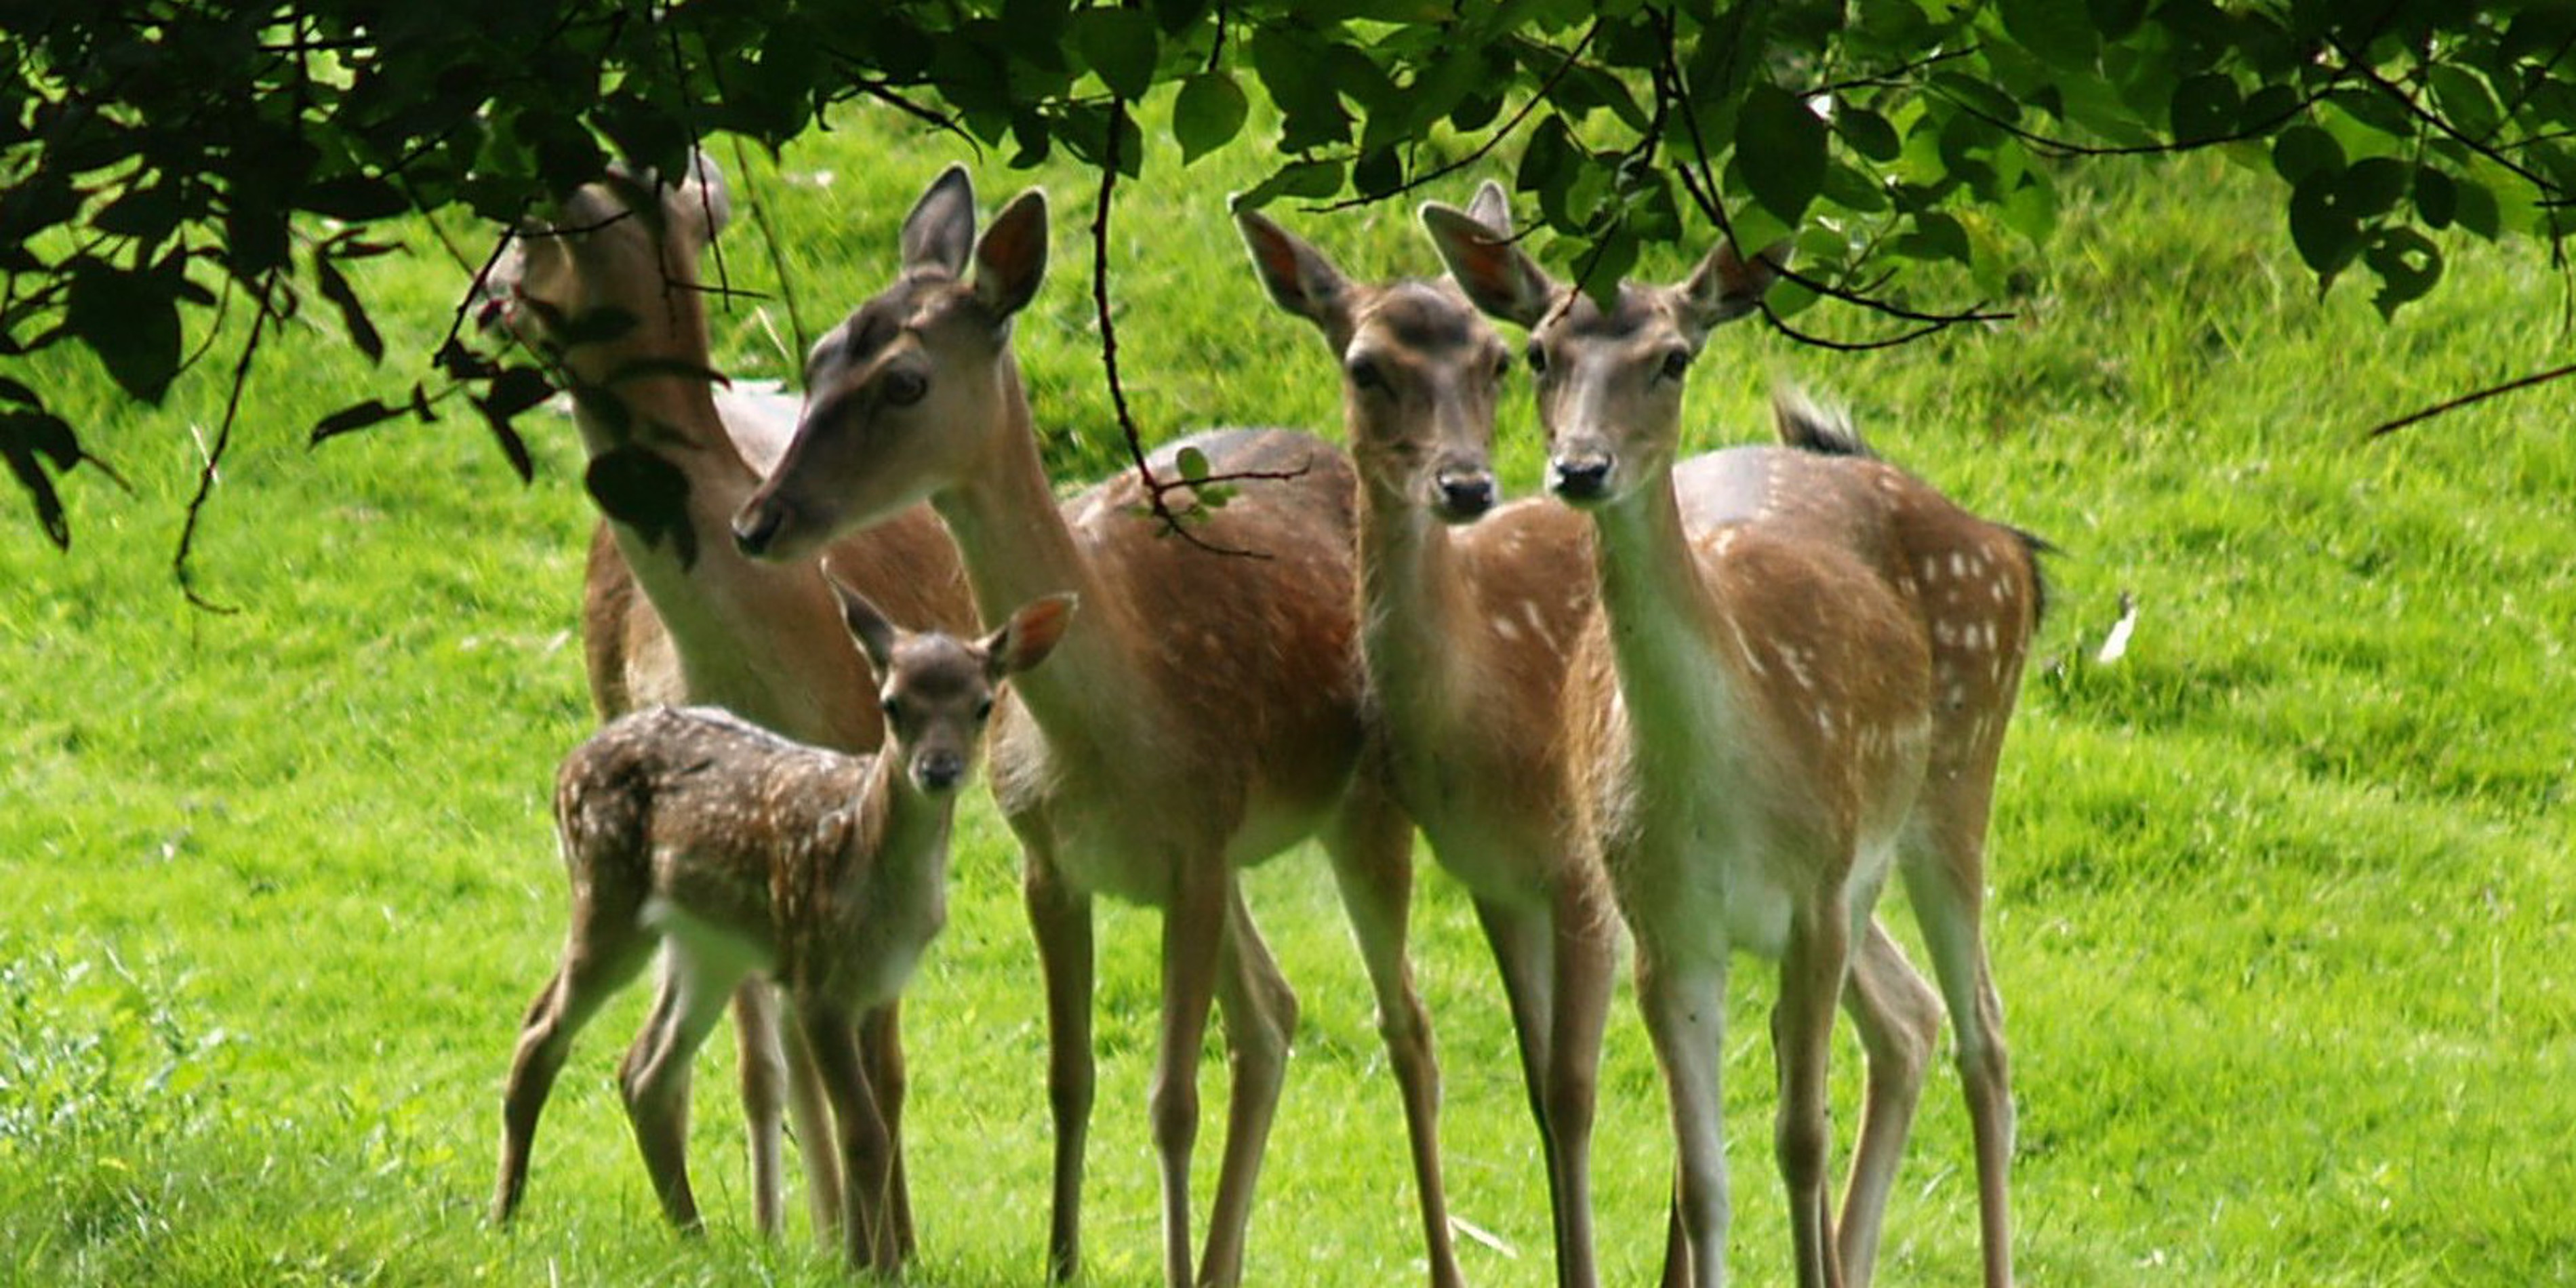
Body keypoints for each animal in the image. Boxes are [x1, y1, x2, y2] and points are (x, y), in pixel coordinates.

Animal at [484, 153, 975, 1252]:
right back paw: (776, 1221)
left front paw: (889, 1243)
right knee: (740, 1054)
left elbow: (879, 1067)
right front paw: (833, 1236)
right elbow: (776, 1063)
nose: (484, 296)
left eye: (528, 227)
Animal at [491, 585, 1075, 1272]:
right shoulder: (815, 979)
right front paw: (869, 1267)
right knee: (541, 1030)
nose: (939, 768)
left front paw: (869, 1258)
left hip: (707, 946)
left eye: (983, 705)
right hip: (606, 893)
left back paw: (695, 1236)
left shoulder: (880, 985)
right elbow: (862, 1130)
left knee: (644, 1068)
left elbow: (880, 1115)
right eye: (891, 703)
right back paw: (505, 1215)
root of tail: (567, 764)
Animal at [729, 166, 1464, 1288]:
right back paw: (1224, 1263)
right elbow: (1069, 1077)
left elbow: (1171, 1101)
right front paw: (1064, 1258)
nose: (758, 521)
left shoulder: (1196, 849)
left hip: (1361, 807)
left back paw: (1434, 1258)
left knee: (1406, 1026)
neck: (1111, 731)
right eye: (815, 361)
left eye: (906, 383)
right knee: (1275, 1015)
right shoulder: (1054, 859)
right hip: (1233, 859)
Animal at [1425, 202, 2039, 1288]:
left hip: (1956, 779)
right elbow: (1703, 1178)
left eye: (1672, 357)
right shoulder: (1667, 928)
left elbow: (1799, 1141)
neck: (1716, 791)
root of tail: (2013, 549)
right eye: (1537, 353)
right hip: (1869, 868)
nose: (1579, 467)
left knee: (1986, 1039)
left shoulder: (1814, 897)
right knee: (1912, 1019)